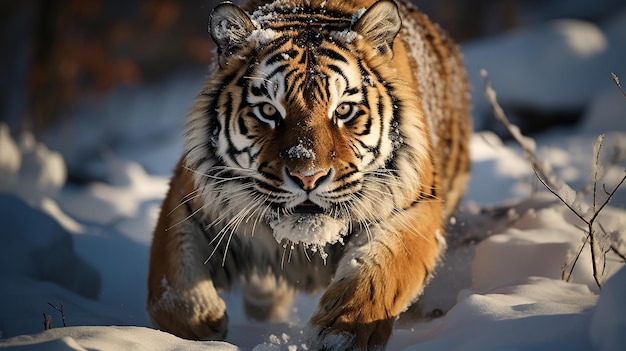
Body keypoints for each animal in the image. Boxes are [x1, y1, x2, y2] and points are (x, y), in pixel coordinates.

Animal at [146, 0, 468, 348]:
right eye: (269, 111)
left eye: (343, 110)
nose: (308, 178)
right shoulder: (191, 201)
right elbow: (170, 289)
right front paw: (198, 329)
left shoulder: (414, 206)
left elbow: (379, 273)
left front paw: (338, 334)